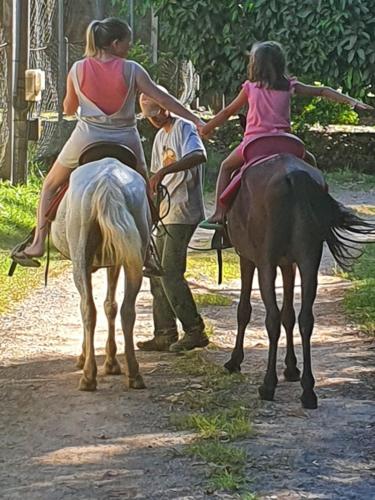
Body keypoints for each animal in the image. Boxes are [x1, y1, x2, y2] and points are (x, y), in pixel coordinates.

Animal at [51, 148, 151, 390]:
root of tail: (108, 181)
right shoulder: (114, 262)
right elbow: (110, 306)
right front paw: (112, 361)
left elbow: (92, 306)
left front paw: (86, 356)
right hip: (133, 258)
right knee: (127, 310)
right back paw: (134, 373)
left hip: (80, 260)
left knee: (87, 309)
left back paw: (88, 375)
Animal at [225, 153, 374, 410]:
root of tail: (294, 176)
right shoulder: (290, 264)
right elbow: (290, 315)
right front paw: (292, 368)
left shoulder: (247, 258)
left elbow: (245, 310)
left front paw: (235, 361)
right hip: (309, 260)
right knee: (305, 319)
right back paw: (308, 390)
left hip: (266, 263)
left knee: (272, 319)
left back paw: (268, 385)